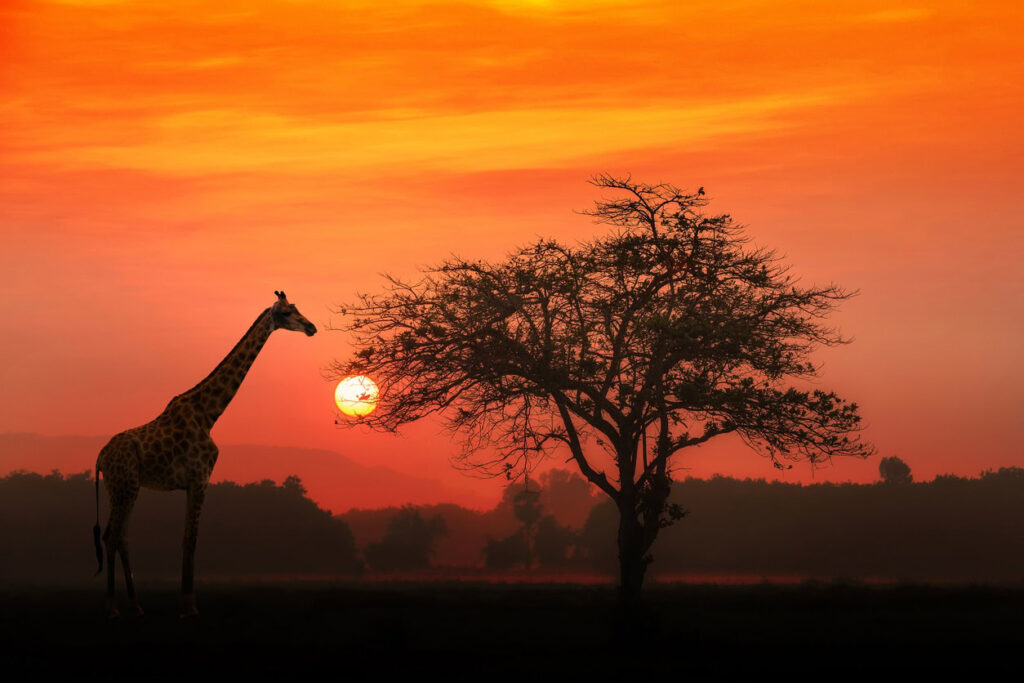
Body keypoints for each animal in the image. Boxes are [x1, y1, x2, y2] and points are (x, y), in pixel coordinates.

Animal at [92, 291, 317, 618]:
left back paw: (136, 605)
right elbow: (190, 540)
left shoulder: (192, 483)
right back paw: (111, 608)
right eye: (287, 313)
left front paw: (185, 604)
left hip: (123, 488)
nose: (312, 327)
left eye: (297, 308)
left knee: (120, 536)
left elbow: (188, 539)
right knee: (111, 536)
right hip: (124, 487)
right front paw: (189, 607)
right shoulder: (200, 478)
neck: (209, 413)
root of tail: (100, 457)